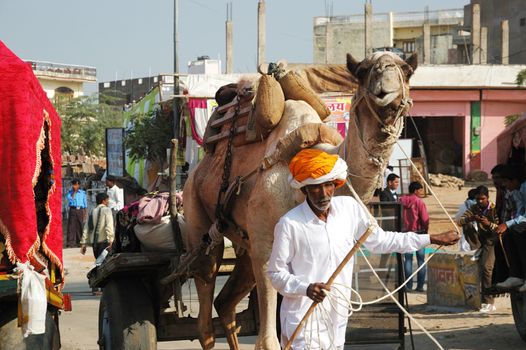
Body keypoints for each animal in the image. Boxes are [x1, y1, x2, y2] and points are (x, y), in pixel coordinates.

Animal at [184, 50, 418, 348]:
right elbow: (268, 340)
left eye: (406, 71)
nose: (385, 86)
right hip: (196, 214)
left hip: (244, 244)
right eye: (363, 71)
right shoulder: (265, 242)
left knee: (224, 303)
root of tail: (198, 169)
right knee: (205, 305)